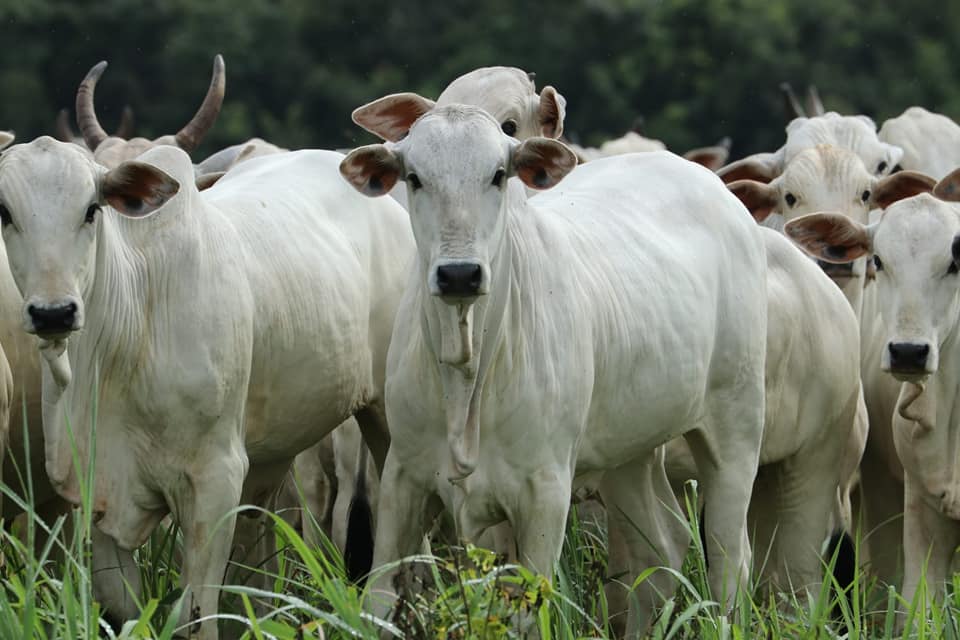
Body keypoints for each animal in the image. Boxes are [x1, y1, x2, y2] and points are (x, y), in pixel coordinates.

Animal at [0, 138, 412, 636]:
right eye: (4, 212)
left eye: (91, 210)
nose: (53, 313)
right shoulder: (97, 486)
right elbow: (124, 602)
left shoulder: (215, 478)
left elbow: (194, 613)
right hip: (270, 455)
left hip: (385, 418)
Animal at [342, 96, 768, 636]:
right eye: (414, 177)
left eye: (498, 175)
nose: (459, 274)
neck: (467, 373)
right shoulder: (403, 478)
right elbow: (377, 601)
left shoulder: (545, 493)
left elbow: (529, 611)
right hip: (628, 452)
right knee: (661, 553)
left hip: (736, 427)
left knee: (730, 563)